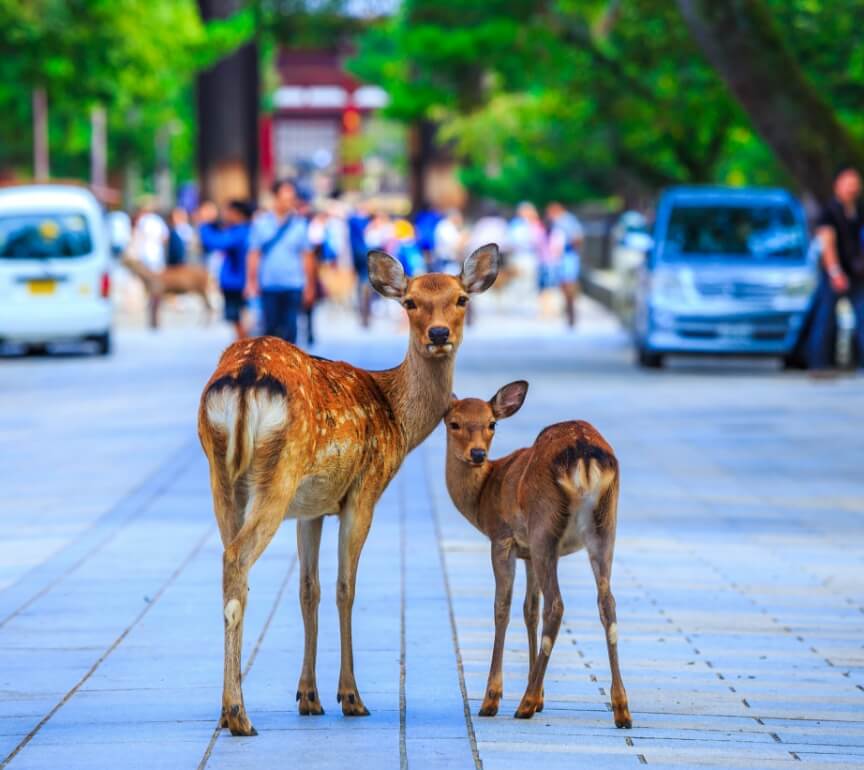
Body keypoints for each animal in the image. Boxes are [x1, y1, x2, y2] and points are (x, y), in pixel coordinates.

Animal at [197, 244, 500, 736]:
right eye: (410, 301)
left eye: (461, 299)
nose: (438, 334)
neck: (397, 417)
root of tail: (243, 378)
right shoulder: (364, 491)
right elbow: (345, 587)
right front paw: (351, 697)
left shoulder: (311, 507)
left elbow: (309, 589)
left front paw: (308, 697)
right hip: (279, 472)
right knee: (237, 559)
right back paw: (240, 715)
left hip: (221, 475)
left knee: (229, 562)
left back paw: (227, 711)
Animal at [443, 381, 631, 727]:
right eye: (454, 423)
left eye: (492, 423)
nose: (477, 454)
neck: (484, 496)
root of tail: (585, 455)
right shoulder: (527, 552)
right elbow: (530, 609)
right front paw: (542, 696)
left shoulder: (503, 538)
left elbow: (502, 607)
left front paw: (492, 698)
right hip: (605, 528)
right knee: (607, 603)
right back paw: (621, 708)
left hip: (545, 526)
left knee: (556, 605)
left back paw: (524, 703)